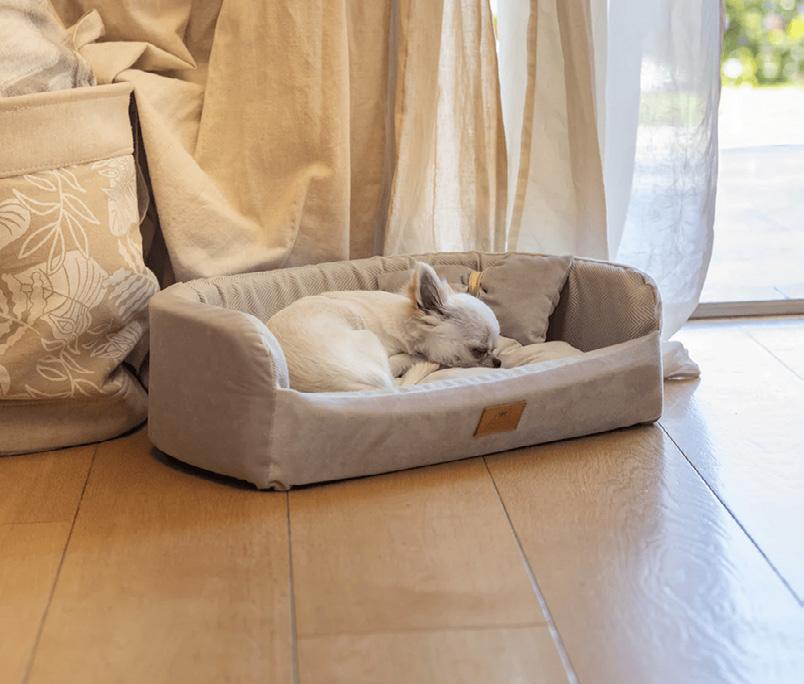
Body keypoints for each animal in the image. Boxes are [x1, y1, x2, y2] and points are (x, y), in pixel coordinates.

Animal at [266, 262, 501, 392]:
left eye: (495, 348)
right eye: (478, 350)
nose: (498, 362)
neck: (405, 320)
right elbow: (411, 357)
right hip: (368, 339)